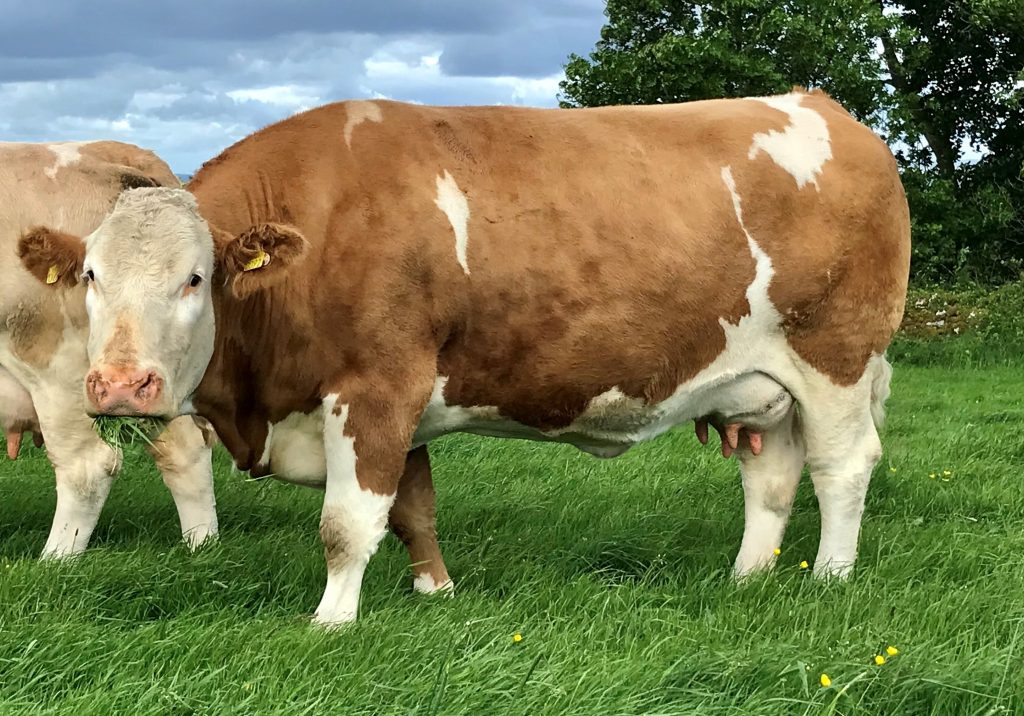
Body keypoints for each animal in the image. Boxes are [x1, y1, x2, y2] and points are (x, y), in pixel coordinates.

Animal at [1, 140, 218, 553]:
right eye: (90, 274)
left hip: (61, 376)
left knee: (88, 466)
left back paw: (56, 559)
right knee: (185, 451)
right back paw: (202, 546)